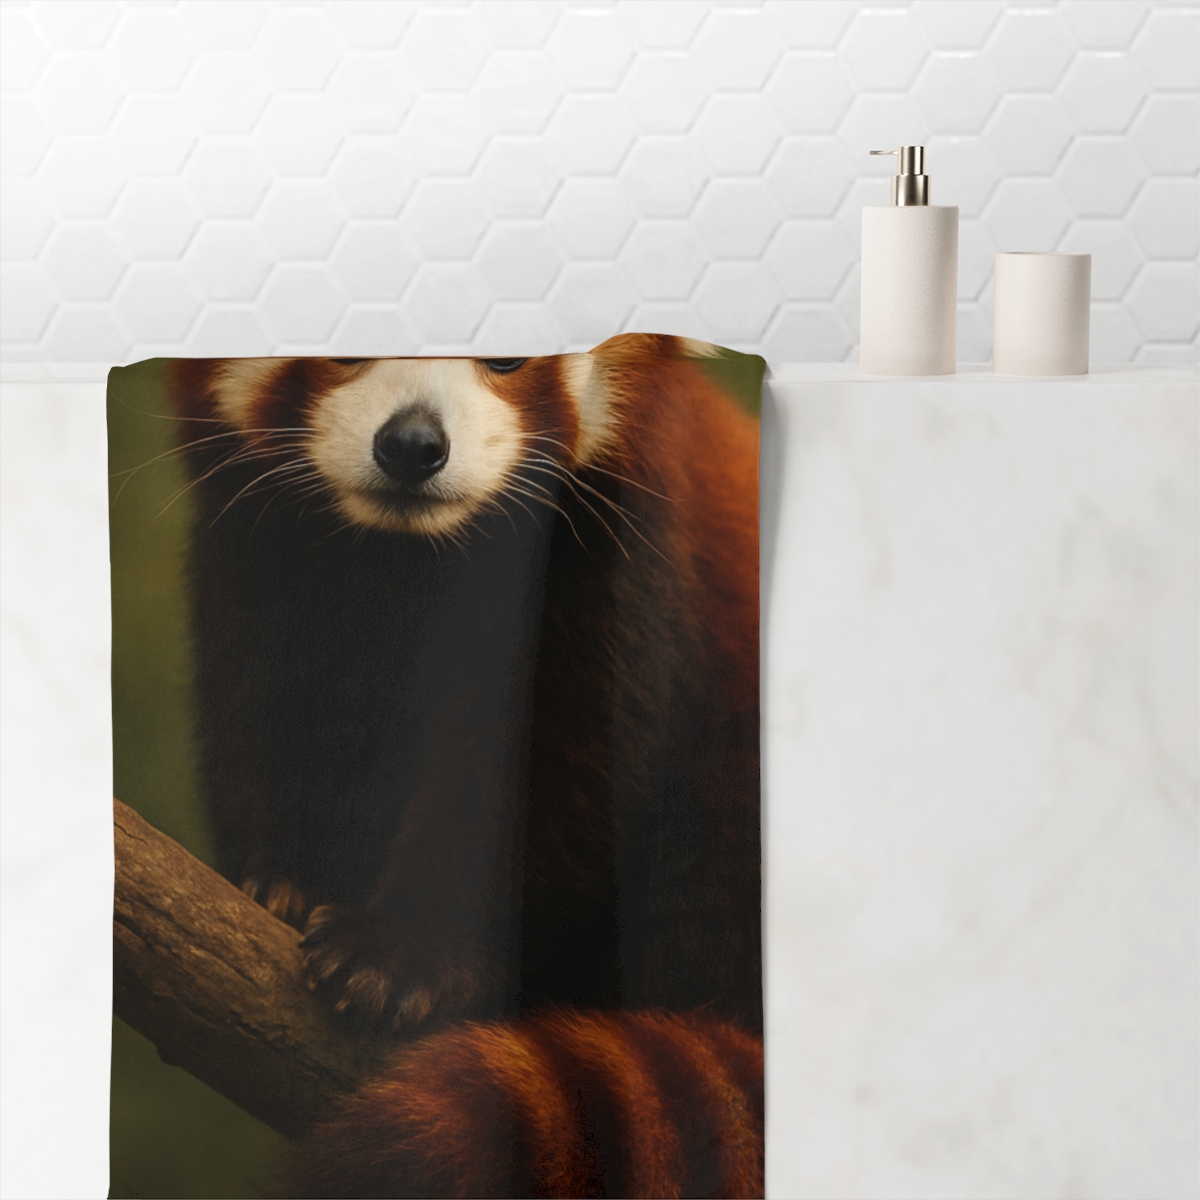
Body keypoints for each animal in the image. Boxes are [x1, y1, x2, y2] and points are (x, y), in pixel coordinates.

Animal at [169, 334, 763, 1198]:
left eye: (511, 357)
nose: (413, 446)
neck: (410, 556)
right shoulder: (263, 557)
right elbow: (272, 714)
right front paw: (290, 880)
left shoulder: (618, 565)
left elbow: (543, 783)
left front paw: (400, 958)